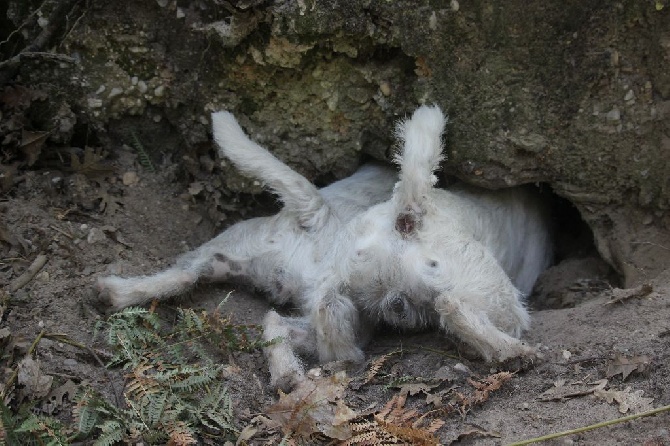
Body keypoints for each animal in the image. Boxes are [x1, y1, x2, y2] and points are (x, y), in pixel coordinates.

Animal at [97, 106, 552, 388]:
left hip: (247, 259)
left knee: (237, 301)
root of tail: (408, 213)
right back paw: (514, 353)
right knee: (455, 307)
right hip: (493, 296)